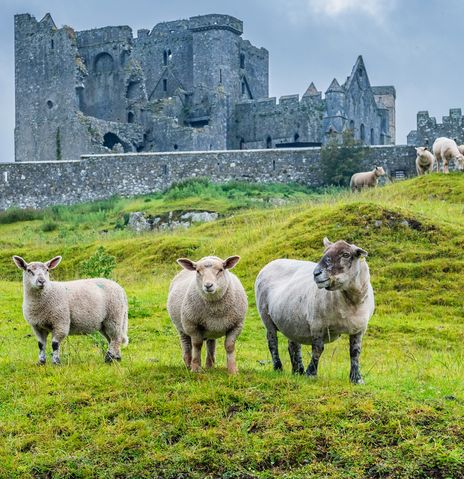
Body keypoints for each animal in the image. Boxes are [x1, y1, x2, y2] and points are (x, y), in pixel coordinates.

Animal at [256, 238, 376, 384]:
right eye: (324, 252)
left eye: (346, 254)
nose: (316, 273)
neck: (350, 303)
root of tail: (272, 262)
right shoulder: (317, 324)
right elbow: (318, 349)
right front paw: (311, 373)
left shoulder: (359, 329)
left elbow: (355, 352)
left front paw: (357, 379)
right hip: (266, 316)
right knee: (272, 342)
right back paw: (278, 368)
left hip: (291, 320)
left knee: (293, 345)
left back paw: (298, 371)